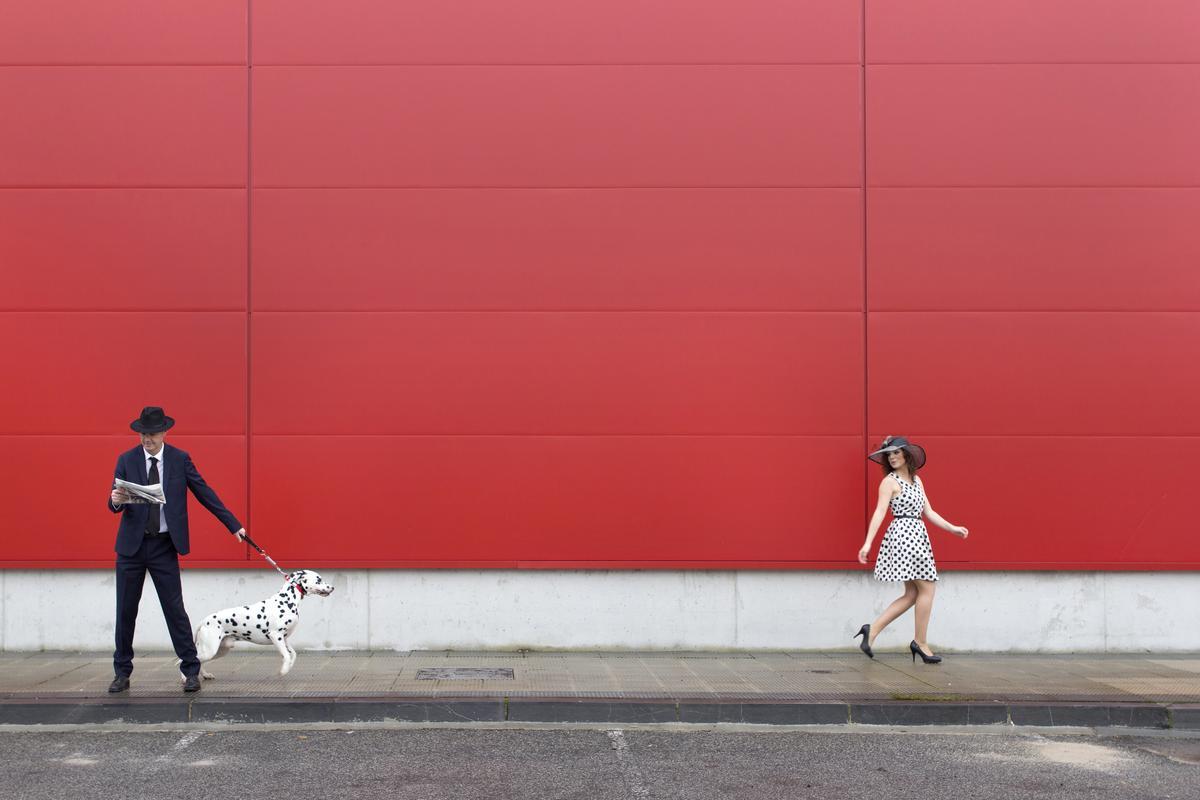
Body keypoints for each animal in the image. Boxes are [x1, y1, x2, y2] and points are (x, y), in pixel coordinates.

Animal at [187, 568, 338, 681]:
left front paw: (288, 667)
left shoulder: (284, 639)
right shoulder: (276, 636)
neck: (286, 601)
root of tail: (204, 621)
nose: (332, 588)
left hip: (219, 650)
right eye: (318, 579)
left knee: (199, 661)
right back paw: (185, 679)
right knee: (192, 660)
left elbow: (293, 655)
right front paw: (283, 670)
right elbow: (287, 655)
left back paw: (205, 675)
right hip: (210, 650)